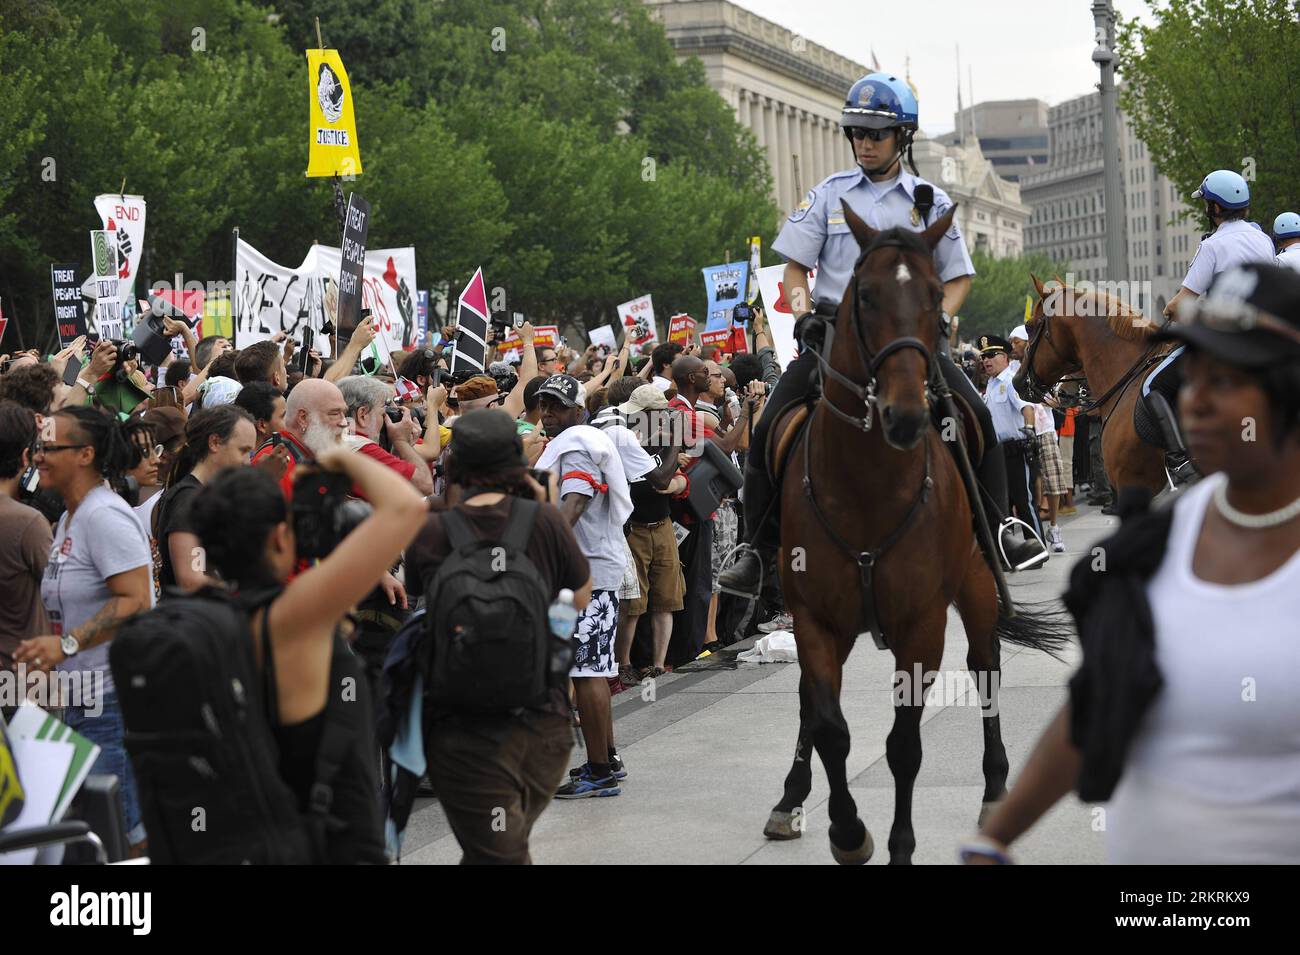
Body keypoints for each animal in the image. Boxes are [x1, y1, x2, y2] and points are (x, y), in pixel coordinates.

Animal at [759, 205, 1066, 862]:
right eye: (865, 295)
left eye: (933, 295)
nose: (904, 414)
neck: (867, 483)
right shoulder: (815, 618)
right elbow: (828, 725)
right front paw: (845, 830)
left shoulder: (920, 625)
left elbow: (904, 745)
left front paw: (897, 843)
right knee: (809, 705)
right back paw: (791, 797)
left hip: (975, 583)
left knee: (985, 665)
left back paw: (995, 790)